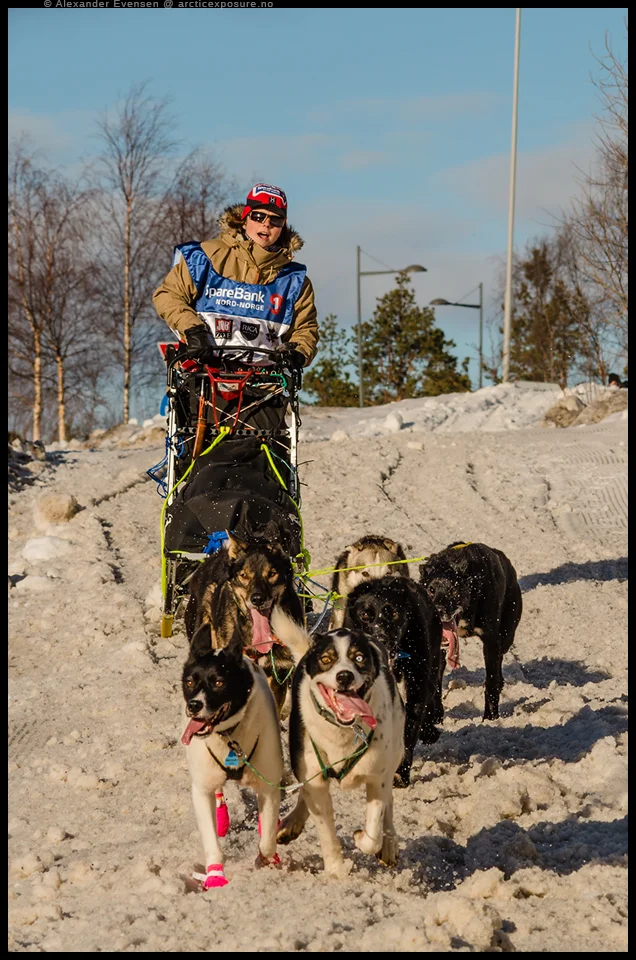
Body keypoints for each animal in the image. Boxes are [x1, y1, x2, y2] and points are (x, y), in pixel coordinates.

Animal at [181, 624, 284, 888]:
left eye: (218, 682)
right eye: (190, 681)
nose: (194, 705)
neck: (228, 736)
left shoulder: (269, 785)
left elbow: (268, 838)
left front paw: (267, 859)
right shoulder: (201, 789)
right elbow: (211, 841)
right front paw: (215, 875)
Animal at [270, 608, 405, 877]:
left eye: (359, 658)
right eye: (326, 659)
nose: (344, 676)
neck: (343, 731)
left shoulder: (377, 777)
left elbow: (373, 829)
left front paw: (365, 838)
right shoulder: (314, 776)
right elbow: (325, 829)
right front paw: (335, 869)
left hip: (396, 751)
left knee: (388, 806)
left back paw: (389, 843)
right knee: (305, 793)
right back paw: (292, 822)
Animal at [342, 576, 443, 787]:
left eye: (394, 613)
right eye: (365, 615)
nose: (381, 639)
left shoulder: (417, 685)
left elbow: (410, 728)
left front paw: (401, 773)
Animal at [419, 542, 522, 721]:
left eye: (454, 591)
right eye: (430, 590)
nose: (438, 610)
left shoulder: (491, 642)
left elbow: (491, 682)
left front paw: (490, 718)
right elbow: (435, 682)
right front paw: (434, 716)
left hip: (506, 637)